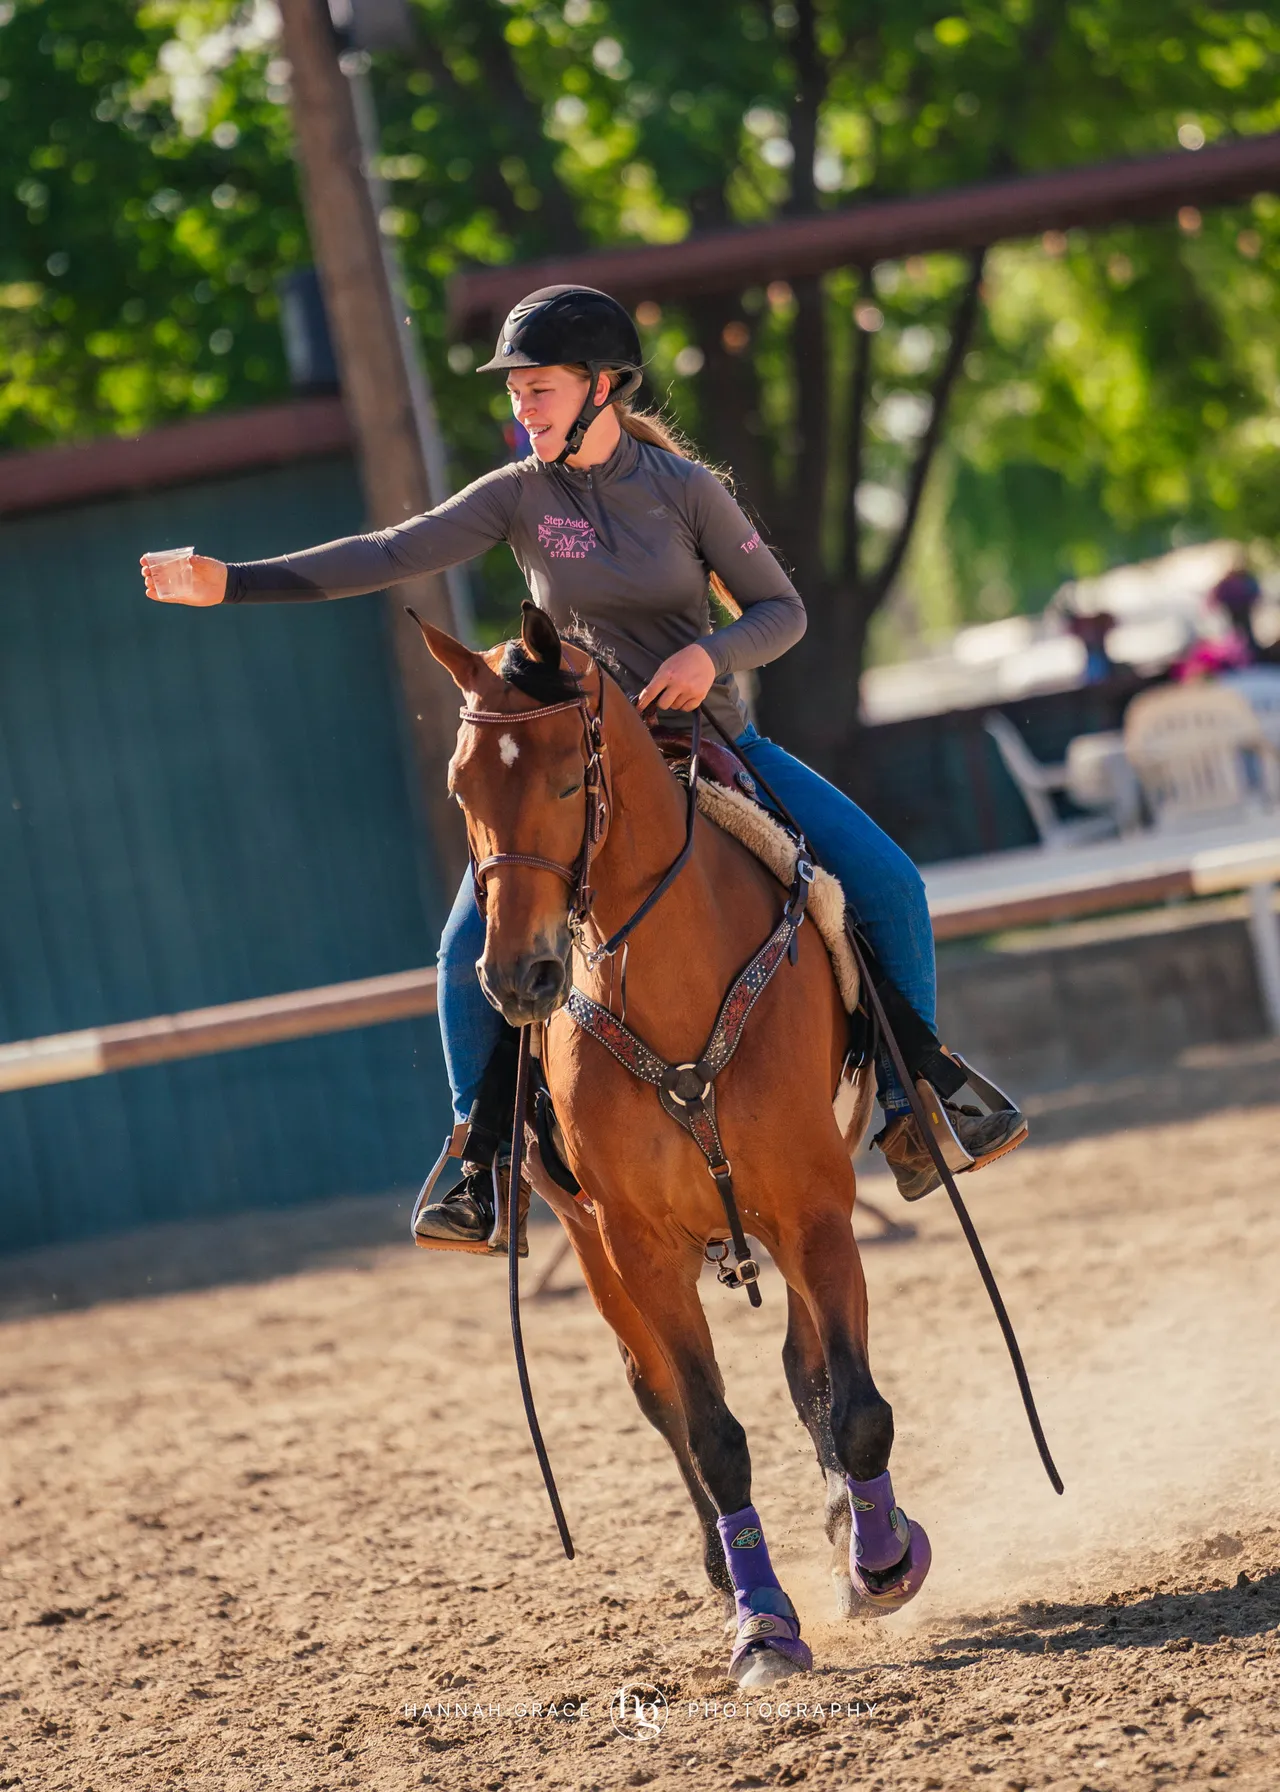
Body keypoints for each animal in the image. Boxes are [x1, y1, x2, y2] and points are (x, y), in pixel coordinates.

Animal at [416, 603, 931, 1686]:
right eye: (460, 787)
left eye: (569, 778)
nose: (517, 976)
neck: (668, 983)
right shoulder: (637, 1247)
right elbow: (710, 1432)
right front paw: (763, 1626)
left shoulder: (815, 1205)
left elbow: (851, 1402)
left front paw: (879, 1560)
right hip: (595, 1249)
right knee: (656, 1396)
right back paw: (723, 1566)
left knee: (807, 1366)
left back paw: (847, 1529)